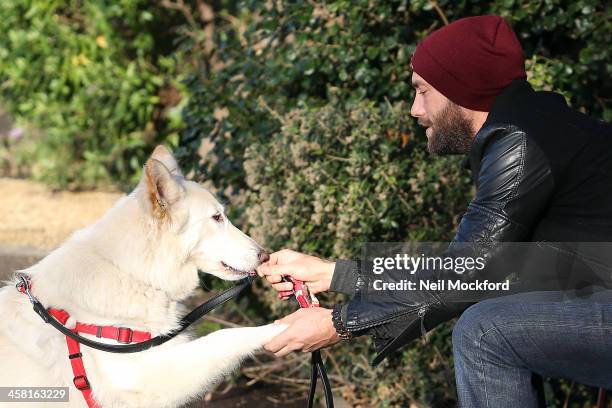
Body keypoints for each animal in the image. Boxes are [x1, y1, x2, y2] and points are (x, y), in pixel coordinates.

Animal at [0, 145, 286, 406]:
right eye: (217, 217)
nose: (265, 256)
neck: (130, 271)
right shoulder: (147, 376)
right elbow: (224, 336)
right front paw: (280, 327)